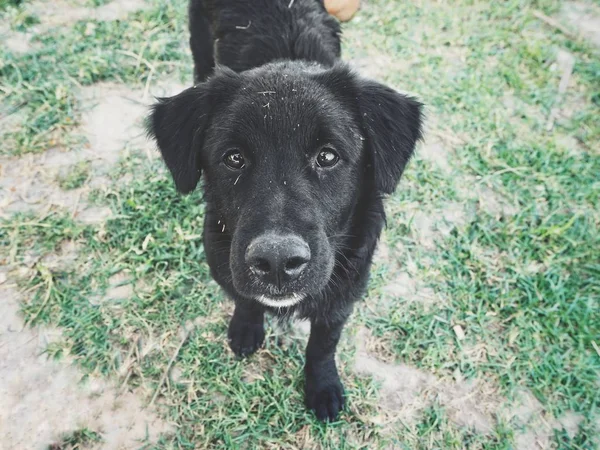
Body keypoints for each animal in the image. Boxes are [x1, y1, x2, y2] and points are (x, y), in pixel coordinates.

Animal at [149, 0, 422, 422]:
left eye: (328, 156)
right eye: (234, 158)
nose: (277, 262)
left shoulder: (344, 291)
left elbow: (324, 343)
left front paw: (323, 387)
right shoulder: (223, 259)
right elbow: (244, 297)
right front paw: (246, 330)